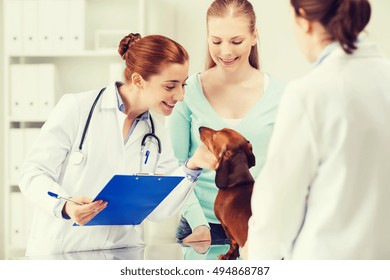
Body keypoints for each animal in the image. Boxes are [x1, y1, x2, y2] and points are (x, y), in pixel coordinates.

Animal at [198, 126, 256, 260]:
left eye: (214, 137)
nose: (200, 128)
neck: (239, 183)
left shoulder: (225, 225)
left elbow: (233, 243)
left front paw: (228, 255)